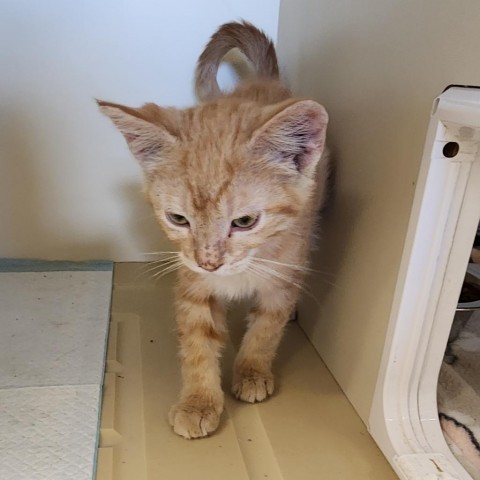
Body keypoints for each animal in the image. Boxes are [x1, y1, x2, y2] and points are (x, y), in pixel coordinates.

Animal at [97, 21, 330, 438]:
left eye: (245, 221)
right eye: (178, 219)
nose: (208, 263)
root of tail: (265, 82)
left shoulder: (282, 273)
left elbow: (266, 328)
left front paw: (252, 371)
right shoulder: (191, 284)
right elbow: (197, 343)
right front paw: (199, 402)